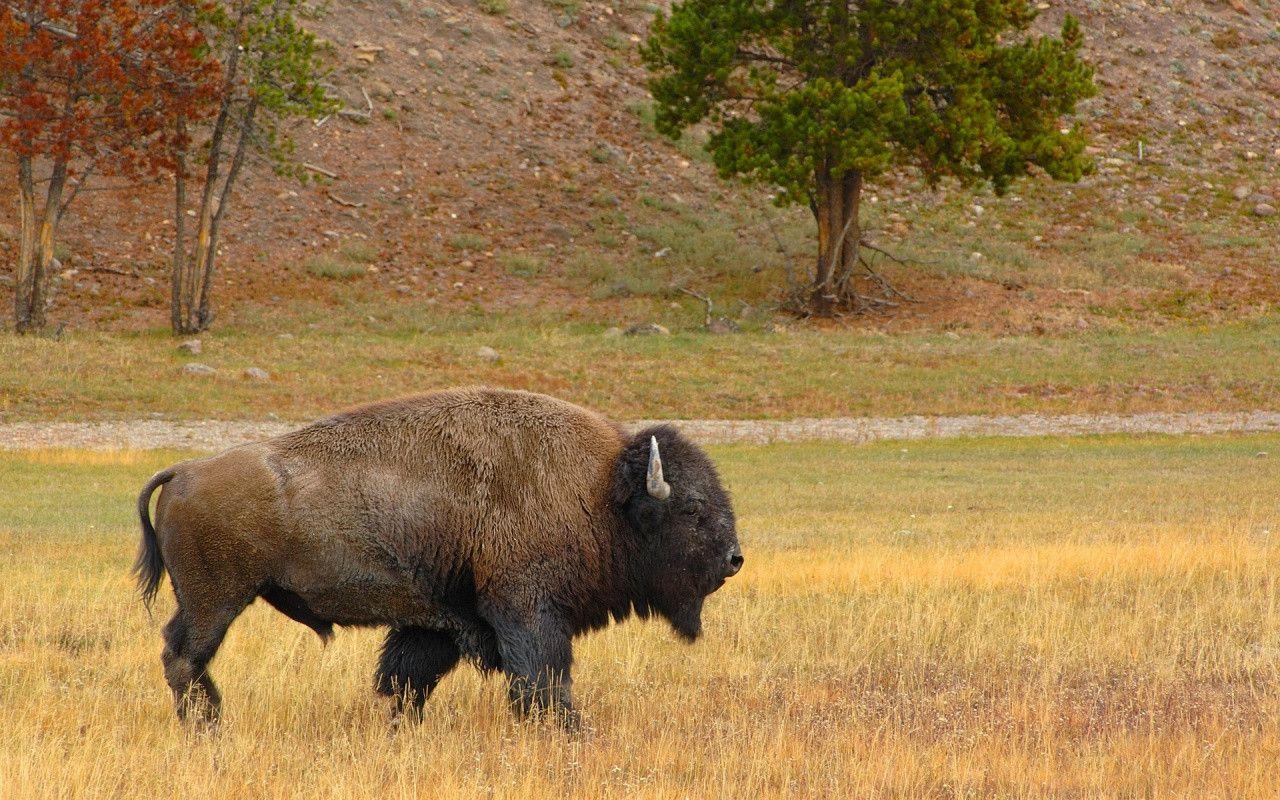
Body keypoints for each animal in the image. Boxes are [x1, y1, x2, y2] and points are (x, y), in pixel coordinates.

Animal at [132, 386, 742, 721]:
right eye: (691, 507)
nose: (735, 559)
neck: (599, 489)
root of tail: (183, 471)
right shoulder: (528, 613)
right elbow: (543, 684)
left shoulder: (440, 623)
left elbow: (406, 682)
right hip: (217, 600)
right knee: (184, 658)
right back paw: (209, 727)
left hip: (209, 601)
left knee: (183, 659)